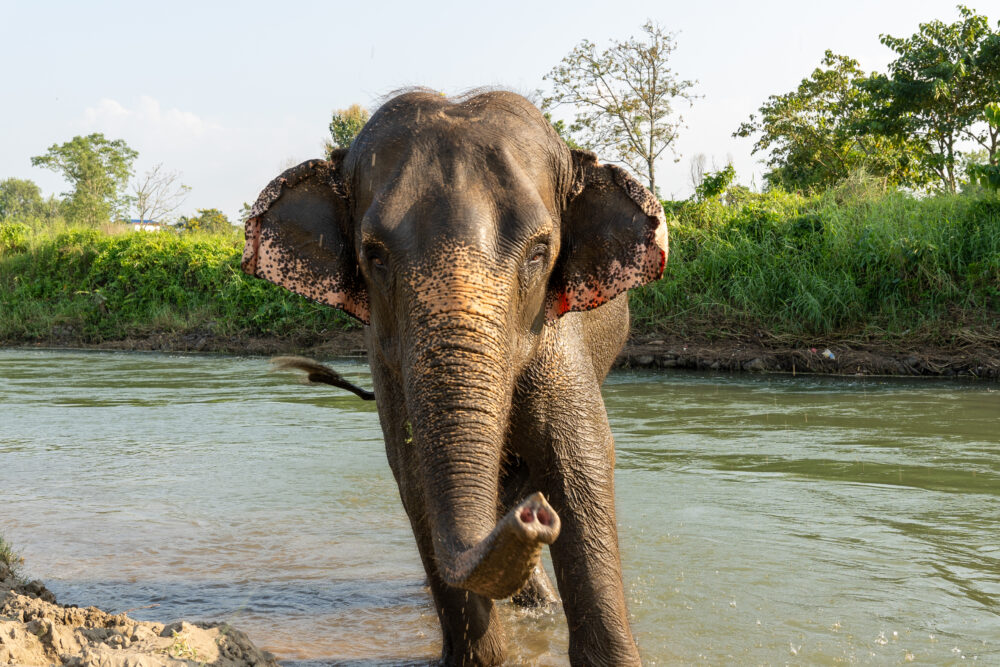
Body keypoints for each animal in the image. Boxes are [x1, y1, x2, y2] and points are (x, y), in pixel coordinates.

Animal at [241, 89, 667, 666]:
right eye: (374, 255)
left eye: (540, 252)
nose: (534, 517)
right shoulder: (388, 355)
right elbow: (414, 472)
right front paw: (481, 657)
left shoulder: (559, 332)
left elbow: (580, 462)